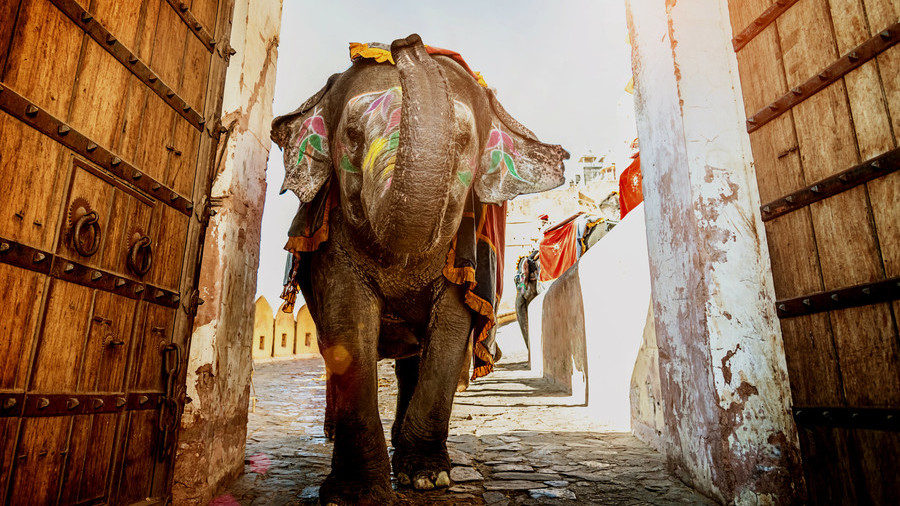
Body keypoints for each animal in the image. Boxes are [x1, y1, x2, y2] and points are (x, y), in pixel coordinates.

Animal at [270, 34, 568, 505]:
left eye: (462, 142)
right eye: (352, 136)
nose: (406, 41)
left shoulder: (467, 255)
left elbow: (451, 329)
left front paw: (429, 478)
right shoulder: (332, 242)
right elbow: (348, 323)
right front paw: (352, 493)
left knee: (413, 358)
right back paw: (331, 434)